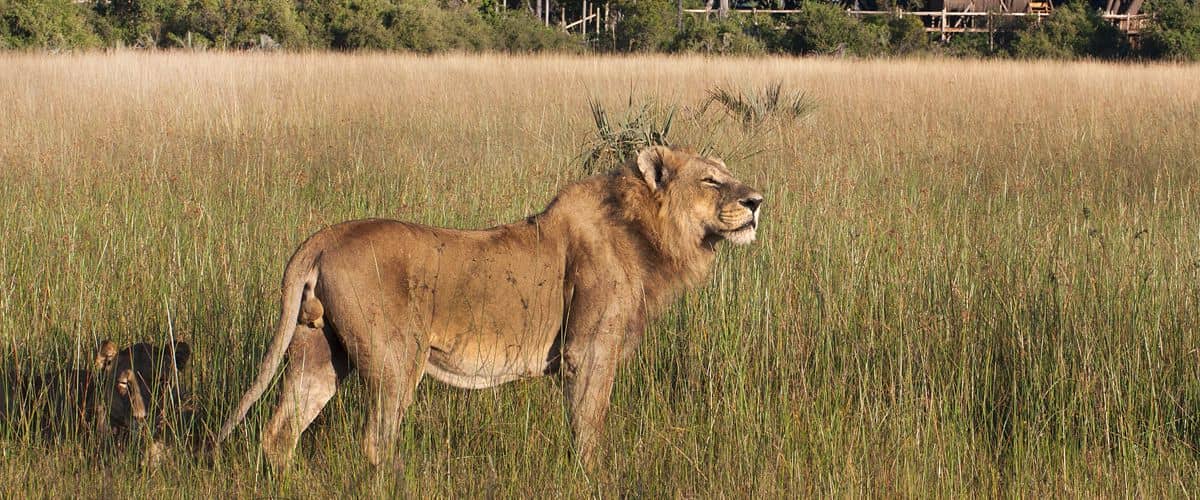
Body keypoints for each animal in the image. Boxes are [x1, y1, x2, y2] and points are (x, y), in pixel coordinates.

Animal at [214, 145, 764, 470]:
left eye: (730, 177)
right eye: (712, 181)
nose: (758, 201)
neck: (648, 234)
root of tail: (326, 235)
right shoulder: (587, 353)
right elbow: (588, 427)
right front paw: (591, 476)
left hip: (319, 350)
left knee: (279, 431)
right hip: (396, 358)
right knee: (376, 441)